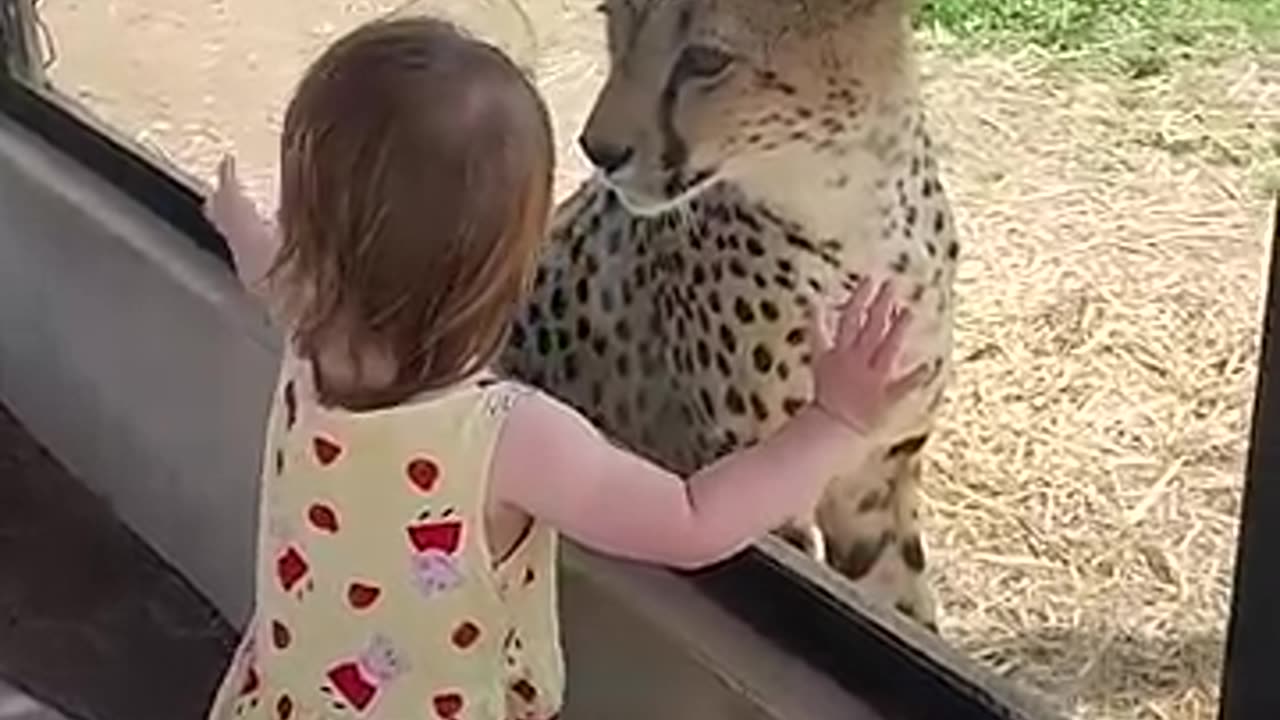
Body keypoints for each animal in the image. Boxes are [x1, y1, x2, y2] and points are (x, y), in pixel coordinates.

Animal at [499, 0, 962, 627]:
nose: (600, 150)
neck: (858, 217)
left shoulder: (877, 482)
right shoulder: (768, 497)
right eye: (612, 16)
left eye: (707, 59)